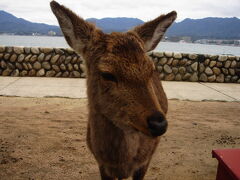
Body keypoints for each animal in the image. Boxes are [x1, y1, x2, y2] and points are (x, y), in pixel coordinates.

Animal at [50, 1, 176, 179]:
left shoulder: (145, 161)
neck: (121, 163)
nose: (159, 124)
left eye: (151, 70)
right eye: (107, 74)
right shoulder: (101, 164)